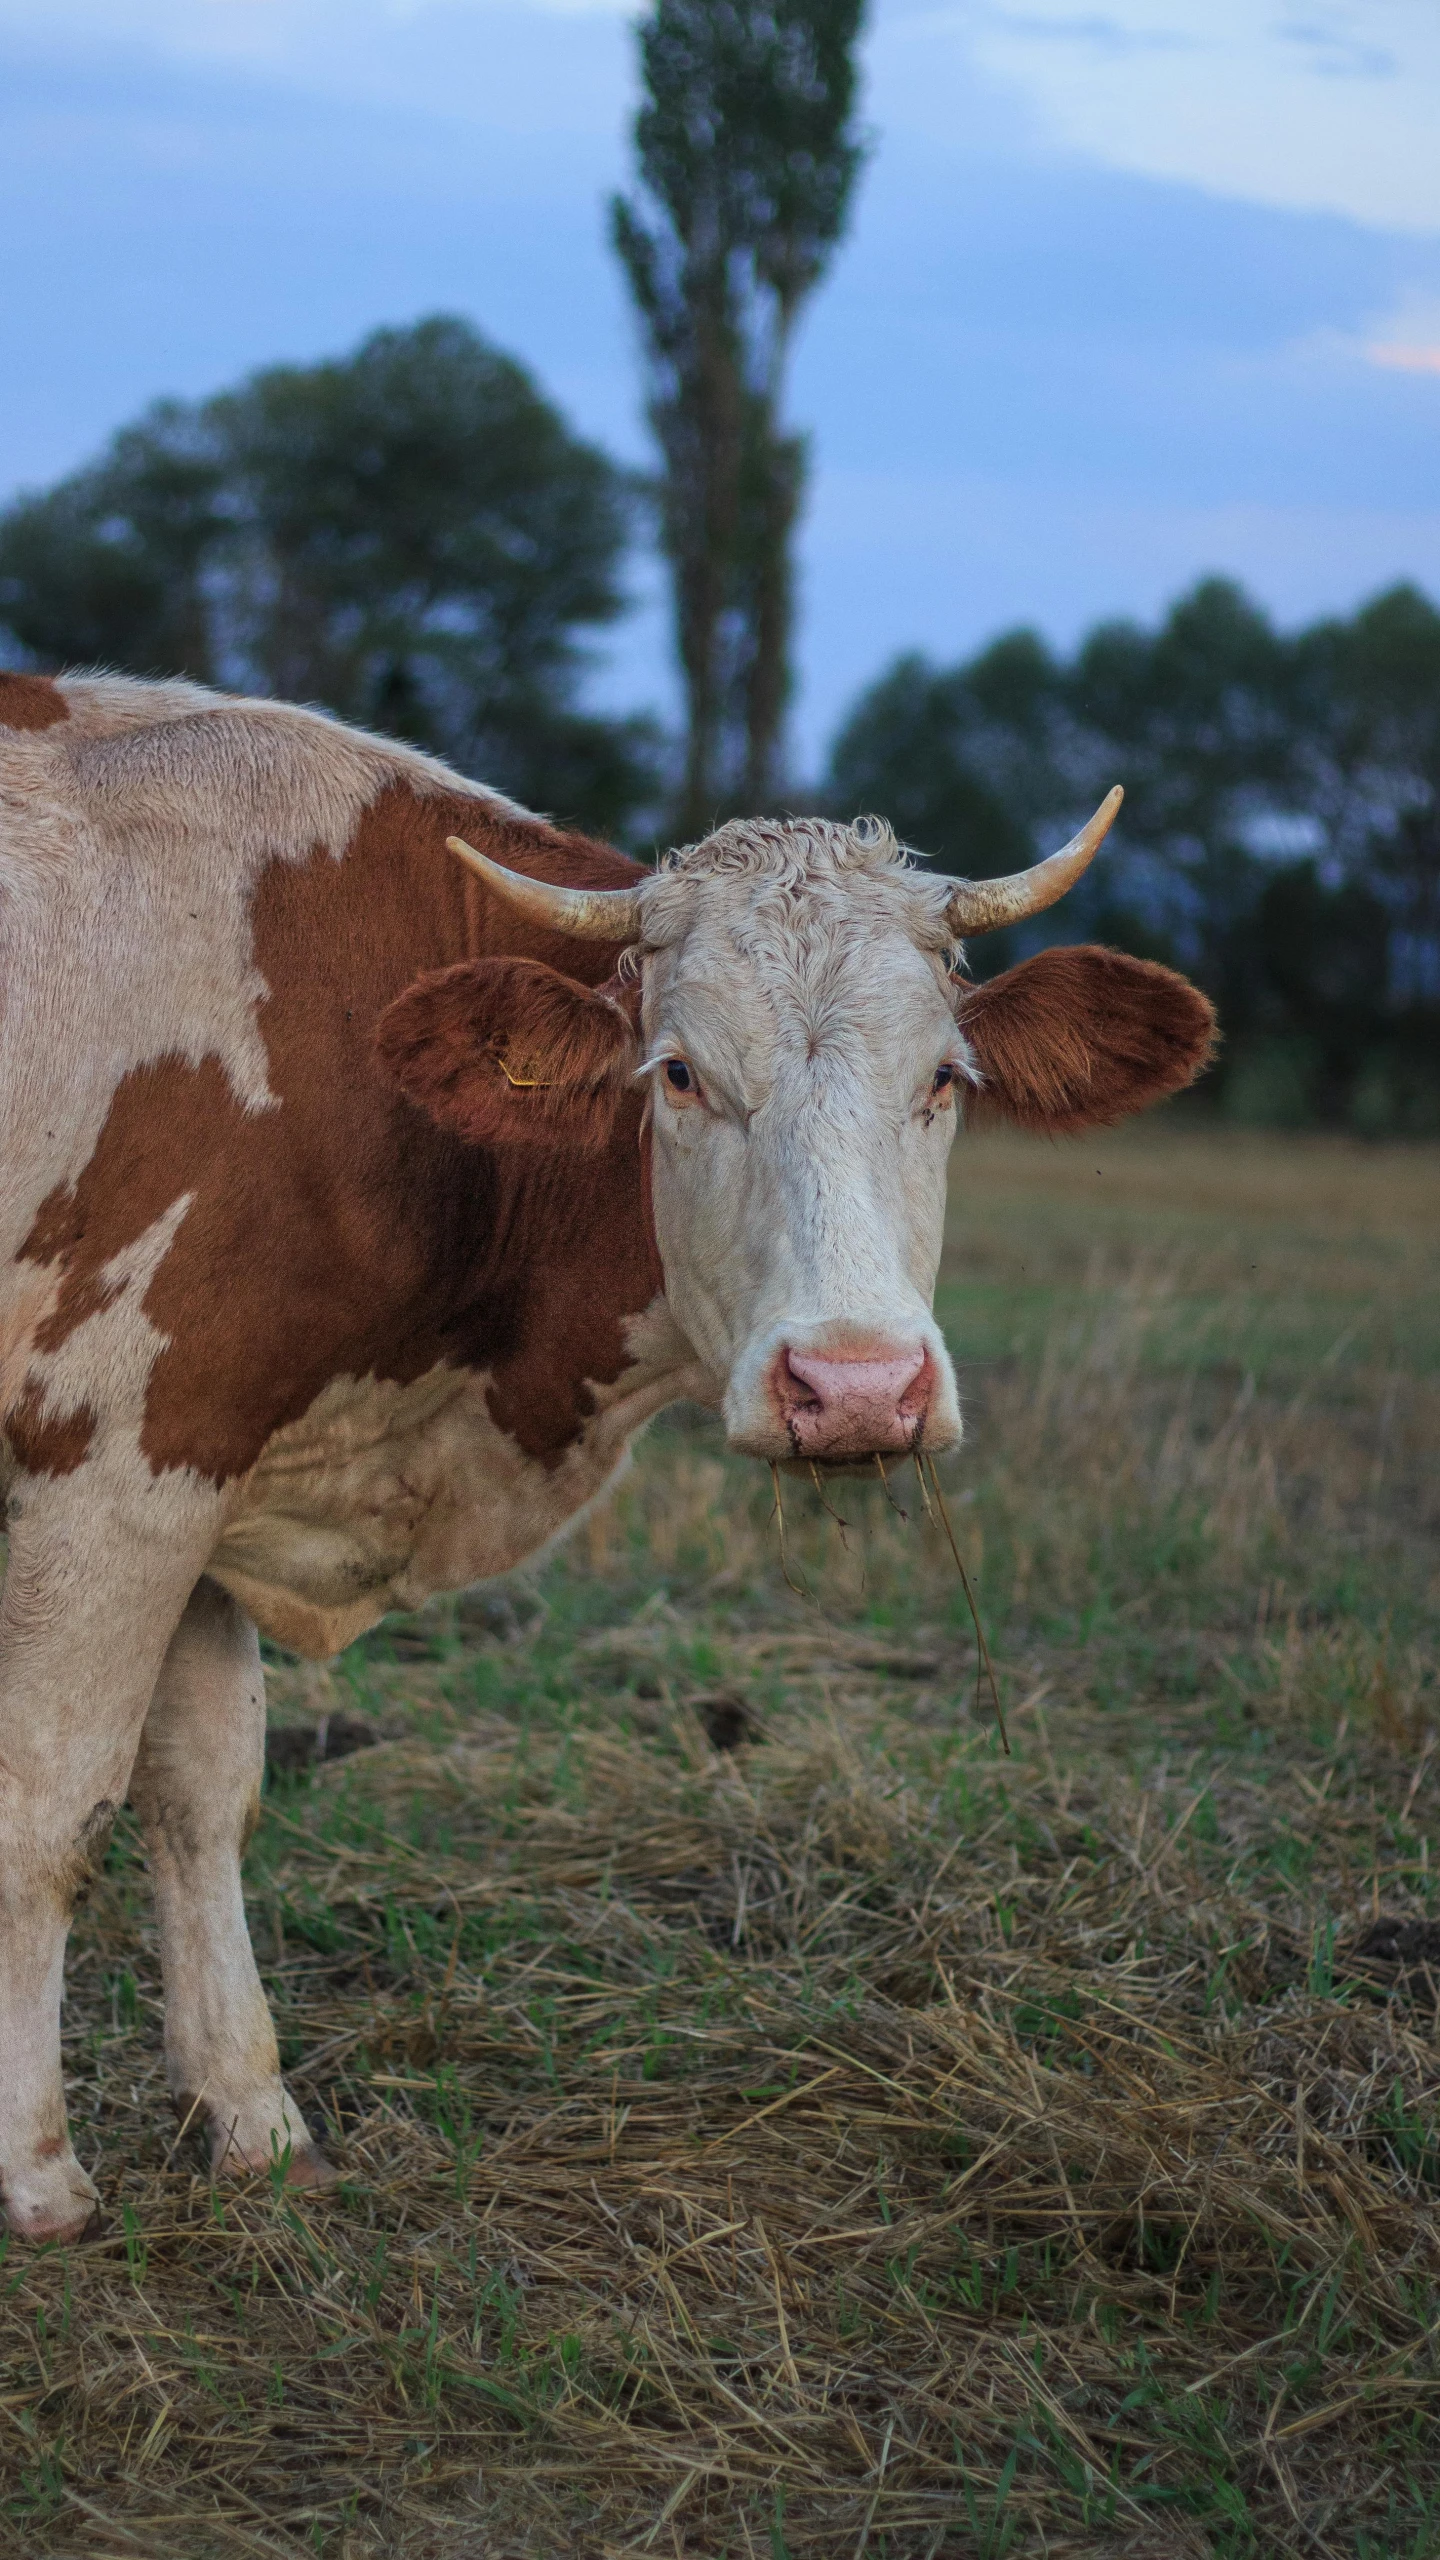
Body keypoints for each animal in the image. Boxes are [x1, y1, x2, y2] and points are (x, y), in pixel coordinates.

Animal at [0, 665, 1209, 2242]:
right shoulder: (105, 1476)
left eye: (947, 1079)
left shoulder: (207, 1465)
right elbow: (49, 1808)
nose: (857, 1385)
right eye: (679, 1074)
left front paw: (254, 2121)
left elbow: (201, 1798)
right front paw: (38, 2177)